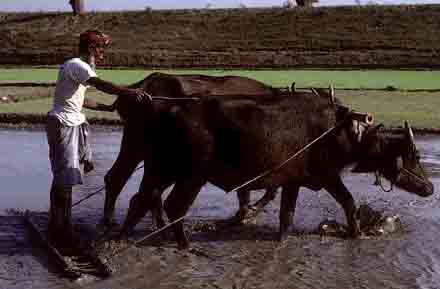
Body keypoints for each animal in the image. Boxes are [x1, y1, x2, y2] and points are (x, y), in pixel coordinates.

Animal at [112, 86, 434, 249]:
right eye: (414, 155)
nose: (430, 188)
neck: (340, 130)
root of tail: (164, 110)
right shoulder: (328, 177)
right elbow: (349, 201)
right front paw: (356, 233)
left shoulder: (292, 182)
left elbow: (286, 215)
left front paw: (282, 238)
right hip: (190, 176)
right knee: (173, 205)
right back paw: (184, 244)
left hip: (161, 169)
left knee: (141, 199)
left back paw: (126, 237)